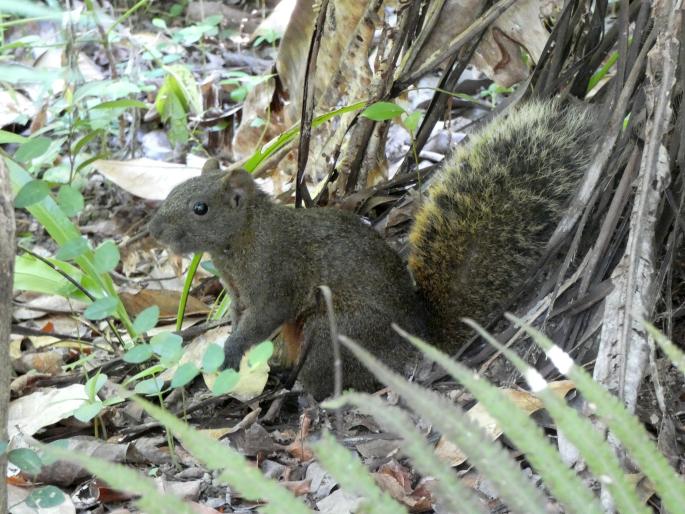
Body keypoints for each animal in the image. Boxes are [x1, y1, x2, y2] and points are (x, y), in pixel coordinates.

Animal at [148, 98, 592, 398]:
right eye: (172, 189)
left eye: (200, 208)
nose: (155, 230)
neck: (242, 241)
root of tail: (417, 340)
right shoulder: (239, 292)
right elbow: (243, 317)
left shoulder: (278, 274)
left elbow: (267, 314)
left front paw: (232, 350)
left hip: (337, 333)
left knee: (330, 381)